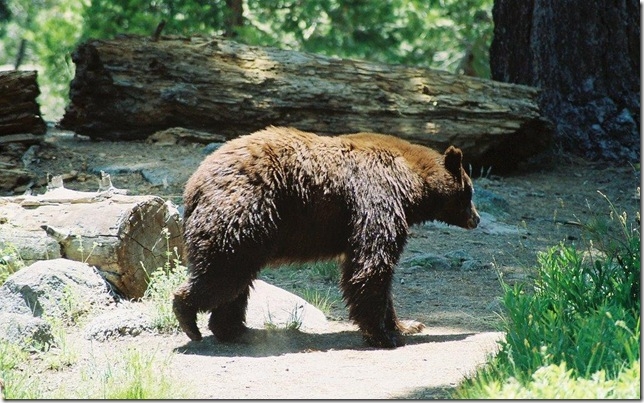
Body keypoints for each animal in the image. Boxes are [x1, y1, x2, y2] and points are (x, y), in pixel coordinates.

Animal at [174, 127, 480, 350]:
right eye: (469, 192)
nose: (476, 218)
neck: (410, 184)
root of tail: (193, 184)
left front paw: (407, 324)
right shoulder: (376, 199)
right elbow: (372, 266)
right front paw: (385, 335)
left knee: (236, 282)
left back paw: (235, 330)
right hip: (244, 213)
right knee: (224, 272)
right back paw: (188, 315)